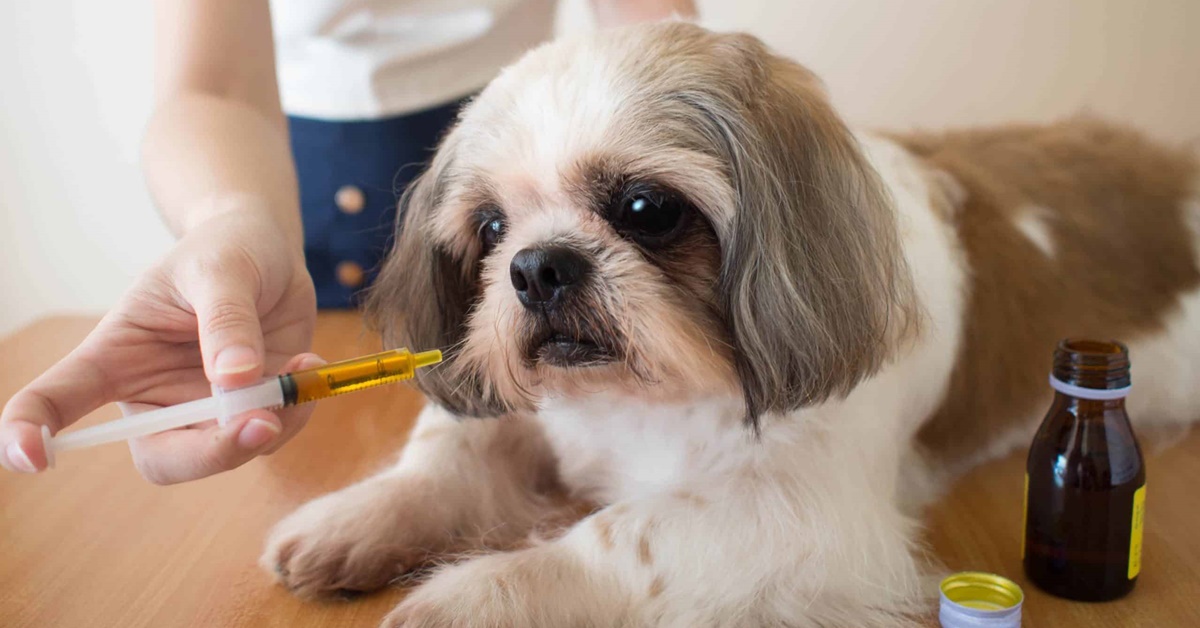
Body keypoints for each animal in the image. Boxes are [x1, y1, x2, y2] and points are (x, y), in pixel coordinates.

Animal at [262, 22, 1200, 624]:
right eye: (491, 229)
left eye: (646, 208)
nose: (537, 266)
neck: (643, 401)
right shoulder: (528, 414)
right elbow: (451, 456)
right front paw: (360, 520)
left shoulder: (800, 520)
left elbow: (615, 538)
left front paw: (467, 596)